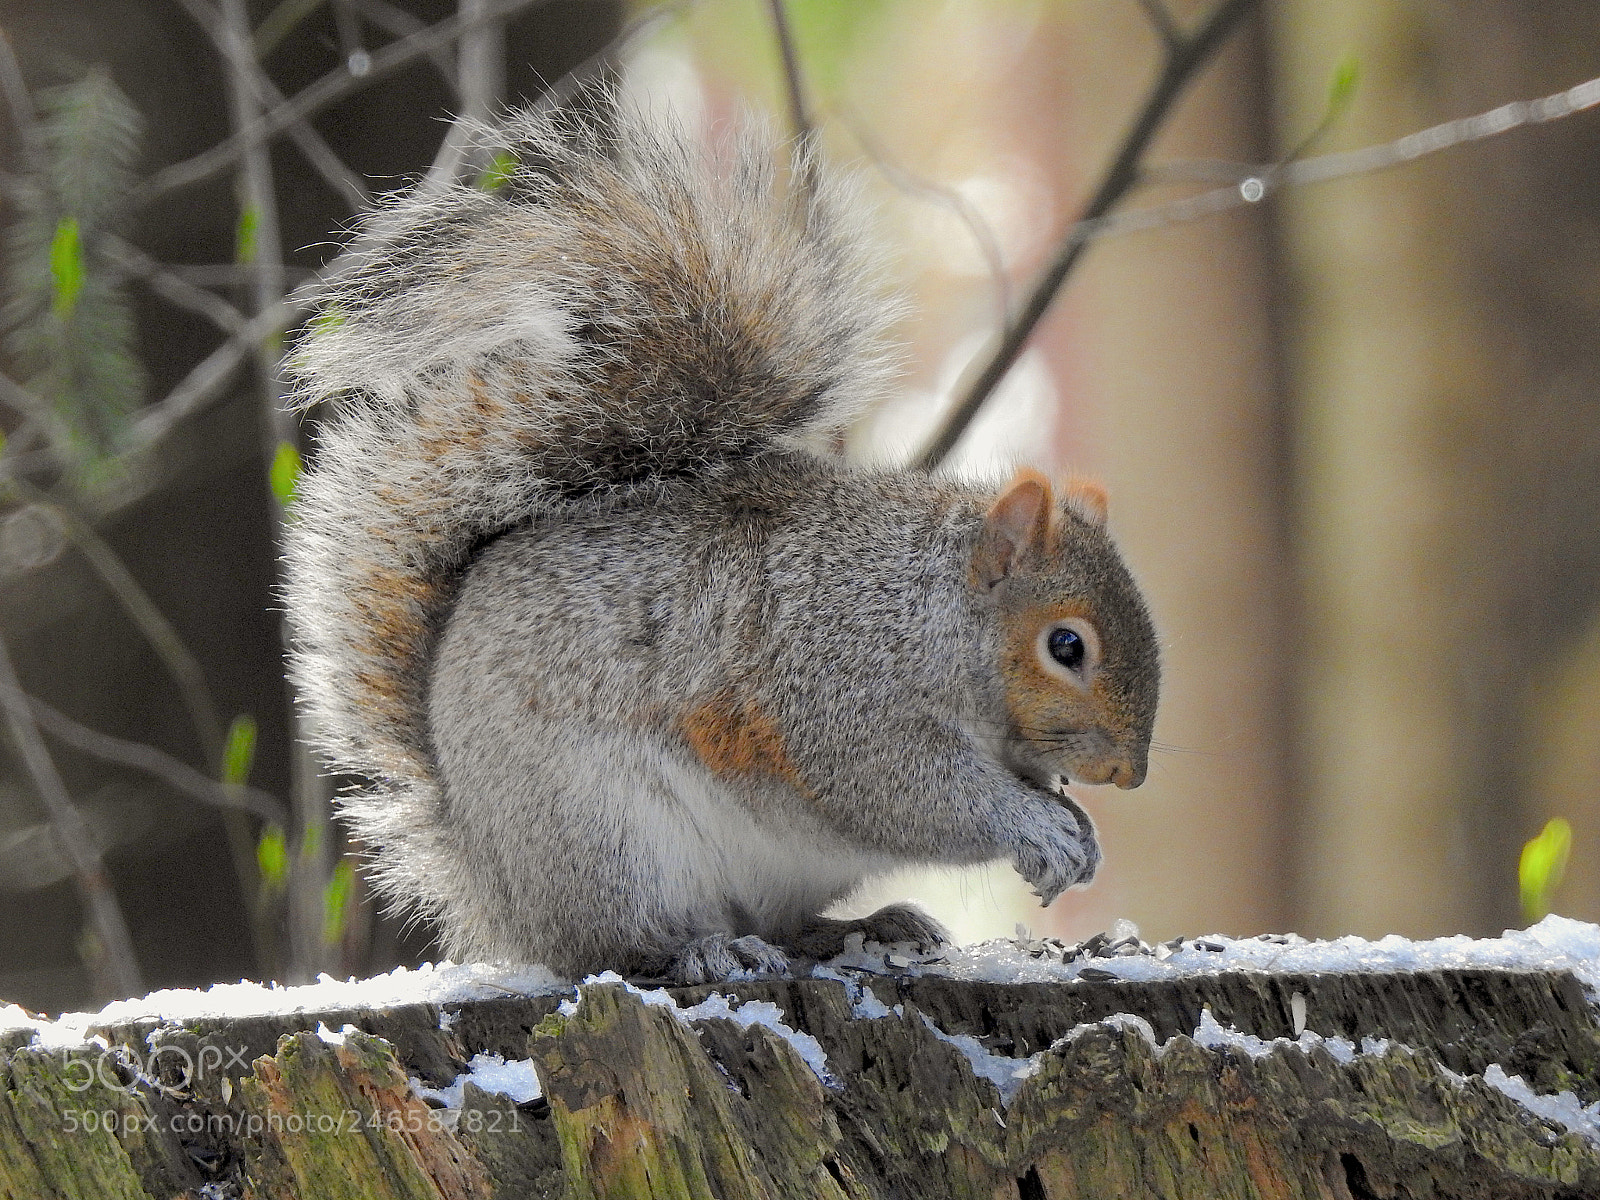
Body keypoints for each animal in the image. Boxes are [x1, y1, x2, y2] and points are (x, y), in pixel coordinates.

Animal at [282, 99, 1160, 985]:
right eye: (1066, 646)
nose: (1128, 774)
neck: (926, 608)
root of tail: (494, 890)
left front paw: (1079, 832)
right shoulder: (836, 687)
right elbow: (904, 790)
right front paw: (1036, 827)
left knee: (784, 924)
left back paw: (869, 927)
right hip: (607, 841)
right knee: (622, 945)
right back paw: (703, 950)